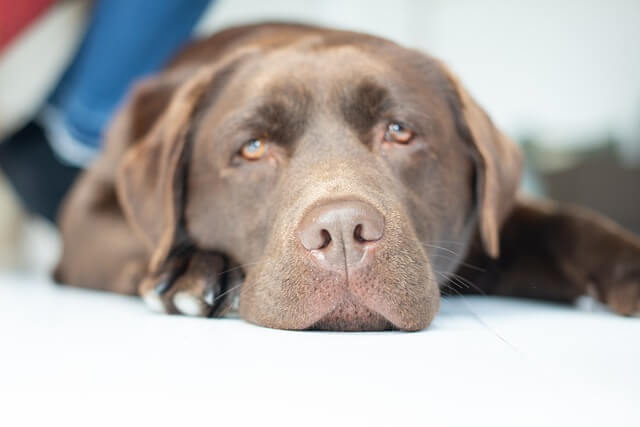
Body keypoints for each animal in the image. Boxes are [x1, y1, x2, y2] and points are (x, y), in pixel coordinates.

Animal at [55, 22, 640, 332]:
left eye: (400, 132)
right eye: (253, 148)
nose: (341, 233)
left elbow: (564, 224)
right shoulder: (84, 219)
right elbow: (137, 238)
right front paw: (189, 267)